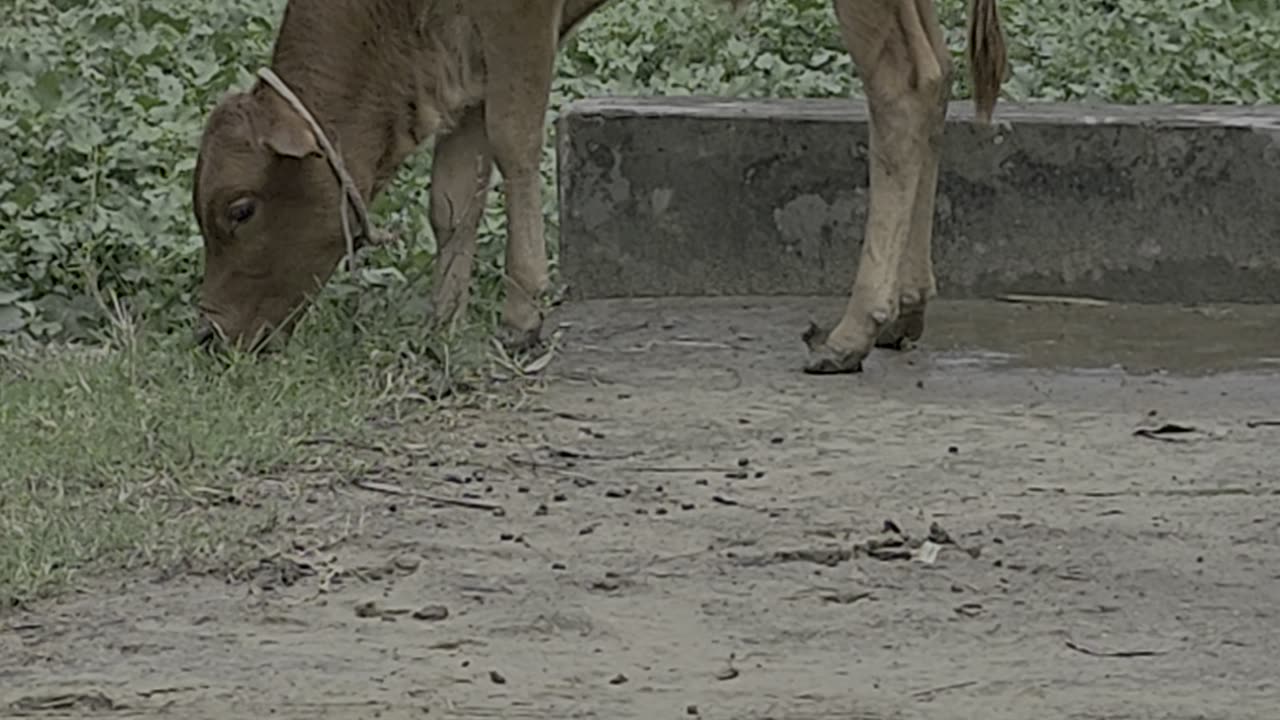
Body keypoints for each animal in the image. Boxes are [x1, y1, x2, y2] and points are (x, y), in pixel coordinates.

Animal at [192, 0, 1008, 368]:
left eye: (240, 208)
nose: (211, 334)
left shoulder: (516, 18)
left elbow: (514, 140)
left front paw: (521, 315)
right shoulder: (460, 49)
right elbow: (453, 194)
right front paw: (437, 328)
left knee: (900, 88)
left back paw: (852, 328)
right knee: (935, 77)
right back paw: (906, 308)